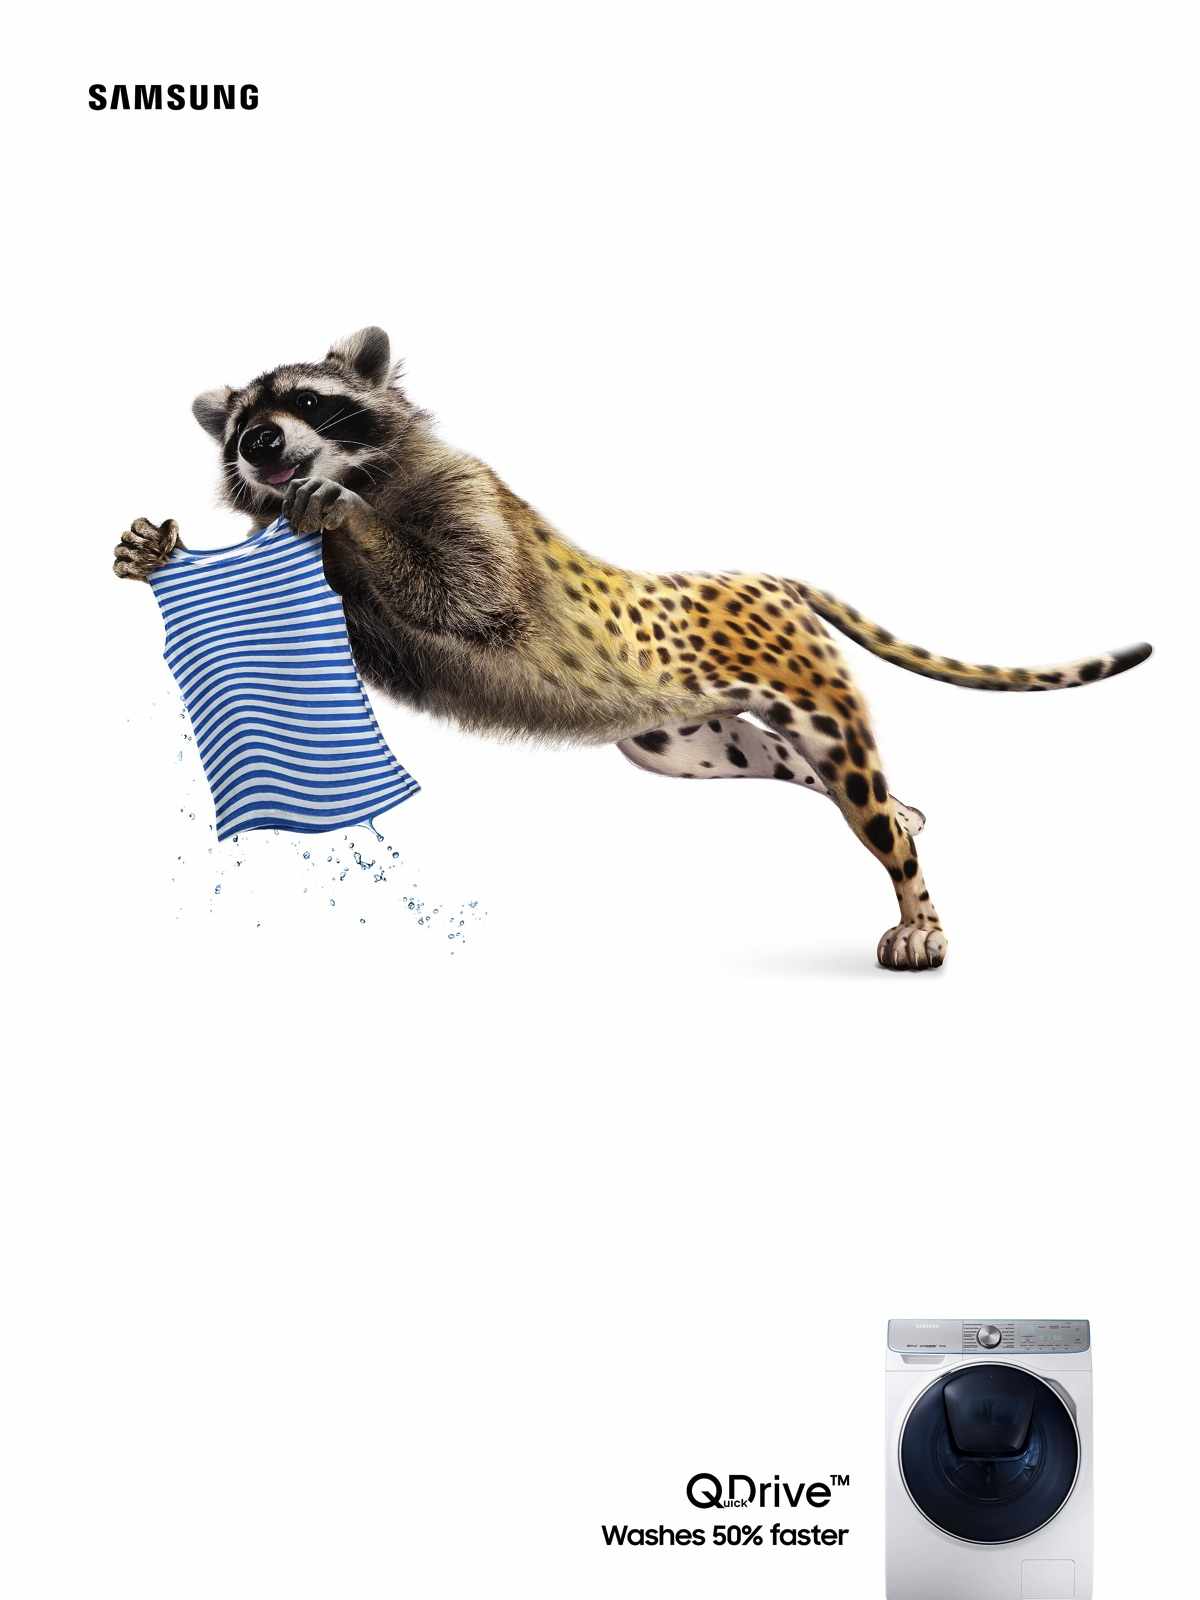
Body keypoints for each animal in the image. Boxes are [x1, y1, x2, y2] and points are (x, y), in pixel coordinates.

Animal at [114, 327, 1152, 969]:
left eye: (310, 400)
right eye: (241, 422)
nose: (258, 441)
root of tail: (769, 577)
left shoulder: (473, 517)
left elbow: (456, 588)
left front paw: (341, 519)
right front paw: (171, 553)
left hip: (812, 703)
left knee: (861, 799)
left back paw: (914, 899)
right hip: (688, 743)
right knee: (787, 765)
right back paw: (903, 809)